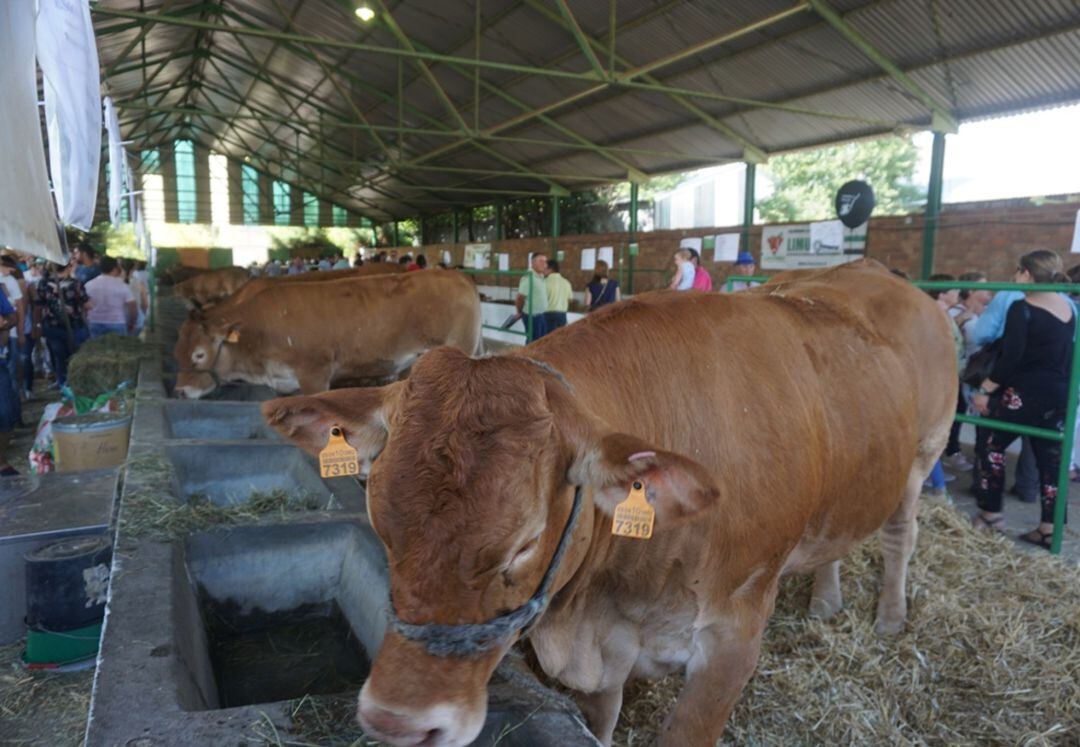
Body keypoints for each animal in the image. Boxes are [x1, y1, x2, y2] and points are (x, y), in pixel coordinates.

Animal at [261, 260, 954, 742]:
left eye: (523, 545)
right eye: (379, 524)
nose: (398, 723)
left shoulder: (733, 635)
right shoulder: (599, 660)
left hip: (924, 455)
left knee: (899, 535)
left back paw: (890, 616)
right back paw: (826, 600)